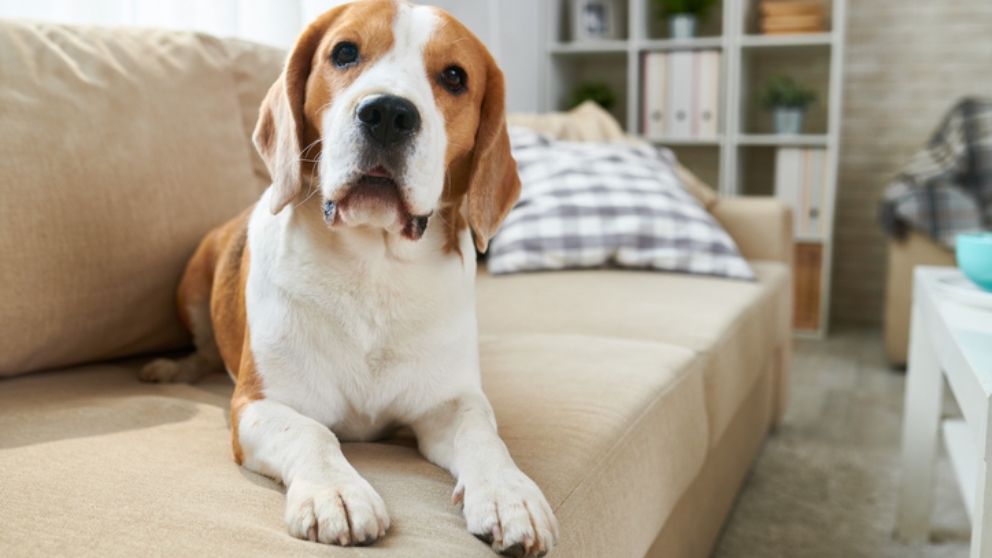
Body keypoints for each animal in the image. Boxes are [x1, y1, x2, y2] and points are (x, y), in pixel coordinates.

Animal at [140, 0, 560, 556]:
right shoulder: (259, 405)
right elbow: (313, 433)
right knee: (204, 350)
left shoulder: (450, 403)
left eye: (454, 77)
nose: (388, 114)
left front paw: (510, 494)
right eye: (344, 52)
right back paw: (172, 368)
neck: (373, 271)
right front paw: (334, 491)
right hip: (192, 284)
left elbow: (483, 435)